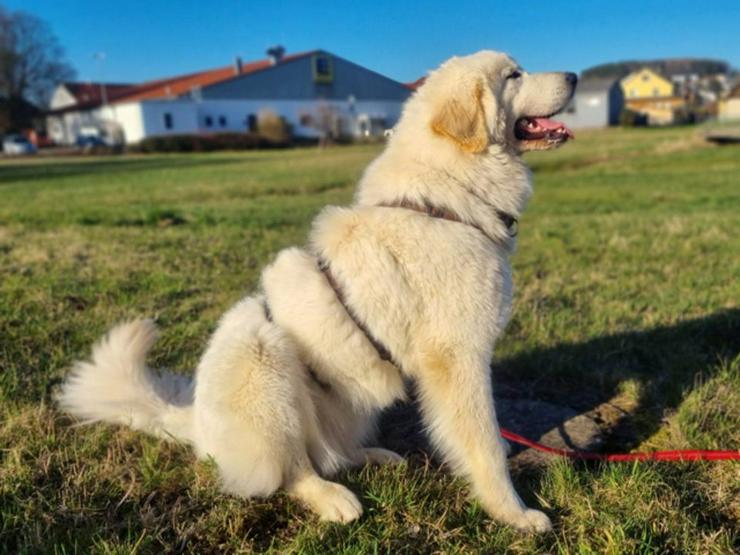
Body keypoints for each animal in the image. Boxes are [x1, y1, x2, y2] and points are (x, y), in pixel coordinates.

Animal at [59, 52, 580, 536]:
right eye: (513, 75)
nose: (575, 76)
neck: (448, 198)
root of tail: (194, 424)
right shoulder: (457, 358)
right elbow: (482, 443)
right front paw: (514, 514)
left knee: (332, 452)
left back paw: (375, 456)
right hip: (265, 361)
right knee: (294, 469)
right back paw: (333, 500)